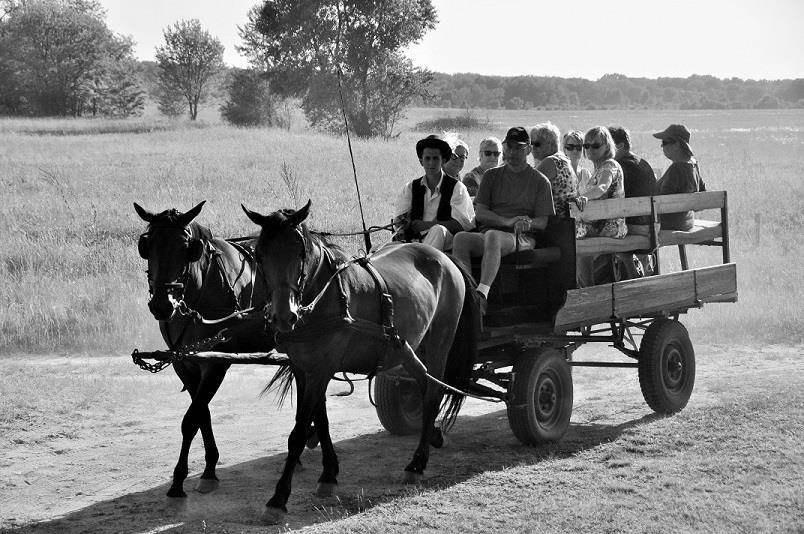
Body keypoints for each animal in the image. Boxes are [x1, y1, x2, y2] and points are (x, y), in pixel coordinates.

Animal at [133, 203, 326, 500]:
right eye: (147, 245)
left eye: (185, 248)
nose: (162, 305)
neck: (202, 288)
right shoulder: (184, 364)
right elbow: (202, 414)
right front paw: (209, 468)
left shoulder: (215, 365)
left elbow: (191, 419)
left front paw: (179, 481)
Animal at [239, 200, 478, 524]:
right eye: (260, 255)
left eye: (300, 253)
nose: (284, 316)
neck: (326, 297)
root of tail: (446, 258)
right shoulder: (306, 369)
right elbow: (321, 421)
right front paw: (328, 475)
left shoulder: (320, 371)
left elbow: (299, 432)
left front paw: (278, 499)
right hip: (407, 349)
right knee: (423, 382)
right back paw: (431, 439)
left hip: (439, 342)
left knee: (432, 393)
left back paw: (417, 463)